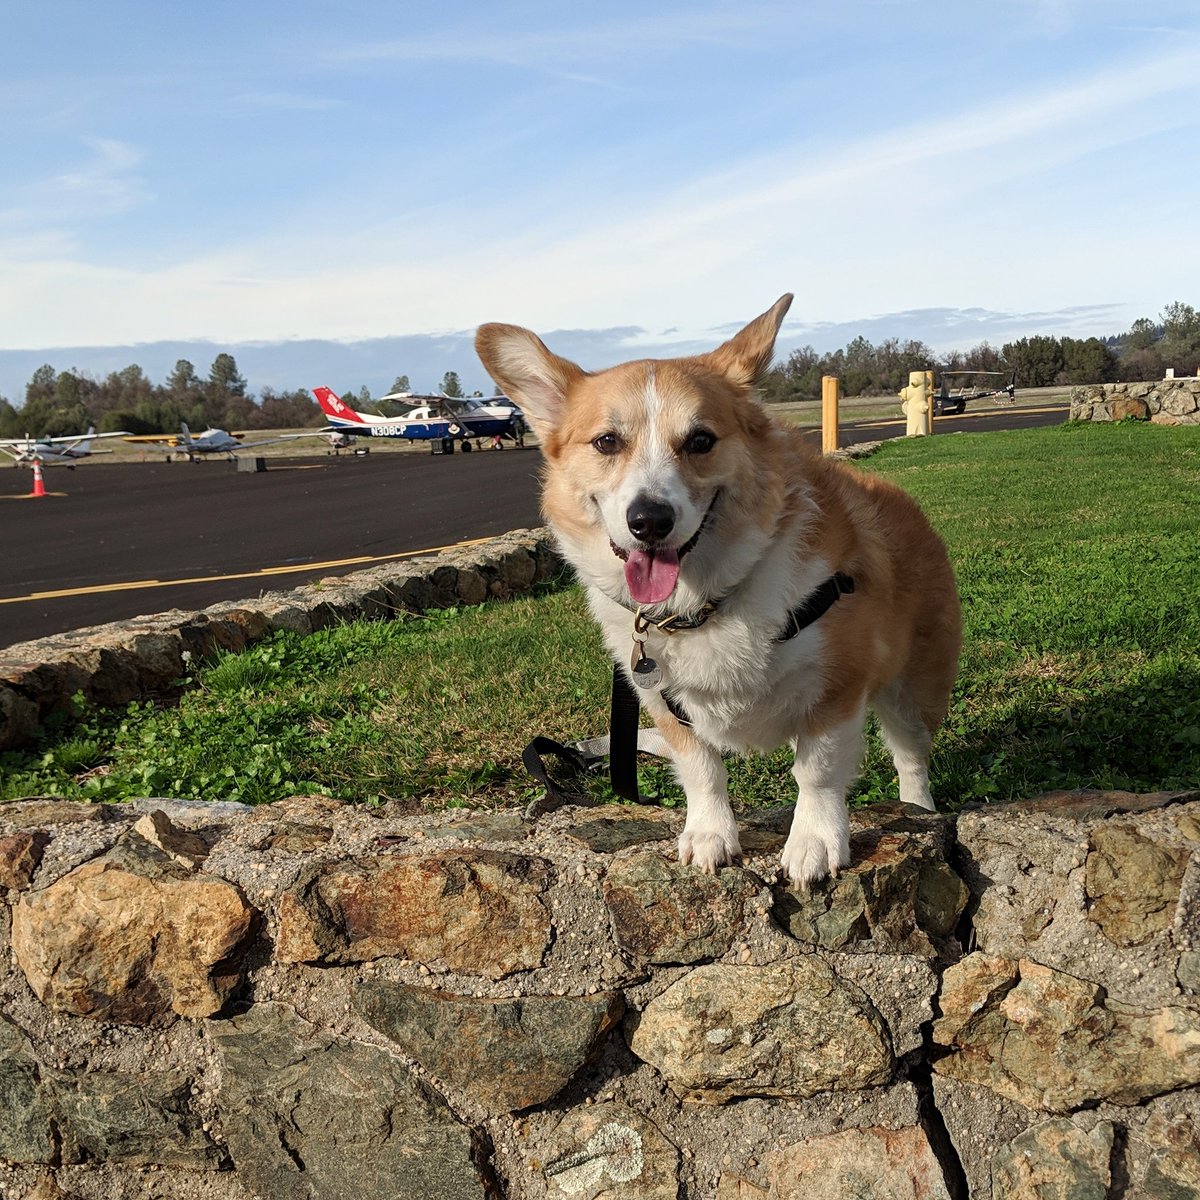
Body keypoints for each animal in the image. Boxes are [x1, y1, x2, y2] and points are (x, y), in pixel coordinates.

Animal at [472, 295, 960, 888]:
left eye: (700, 440)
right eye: (607, 442)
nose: (649, 521)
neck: (702, 603)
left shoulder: (836, 688)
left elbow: (817, 771)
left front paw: (814, 842)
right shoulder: (661, 703)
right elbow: (703, 771)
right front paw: (710, 836)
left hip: (914, 690)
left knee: (911, 757)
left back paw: (918, 810)